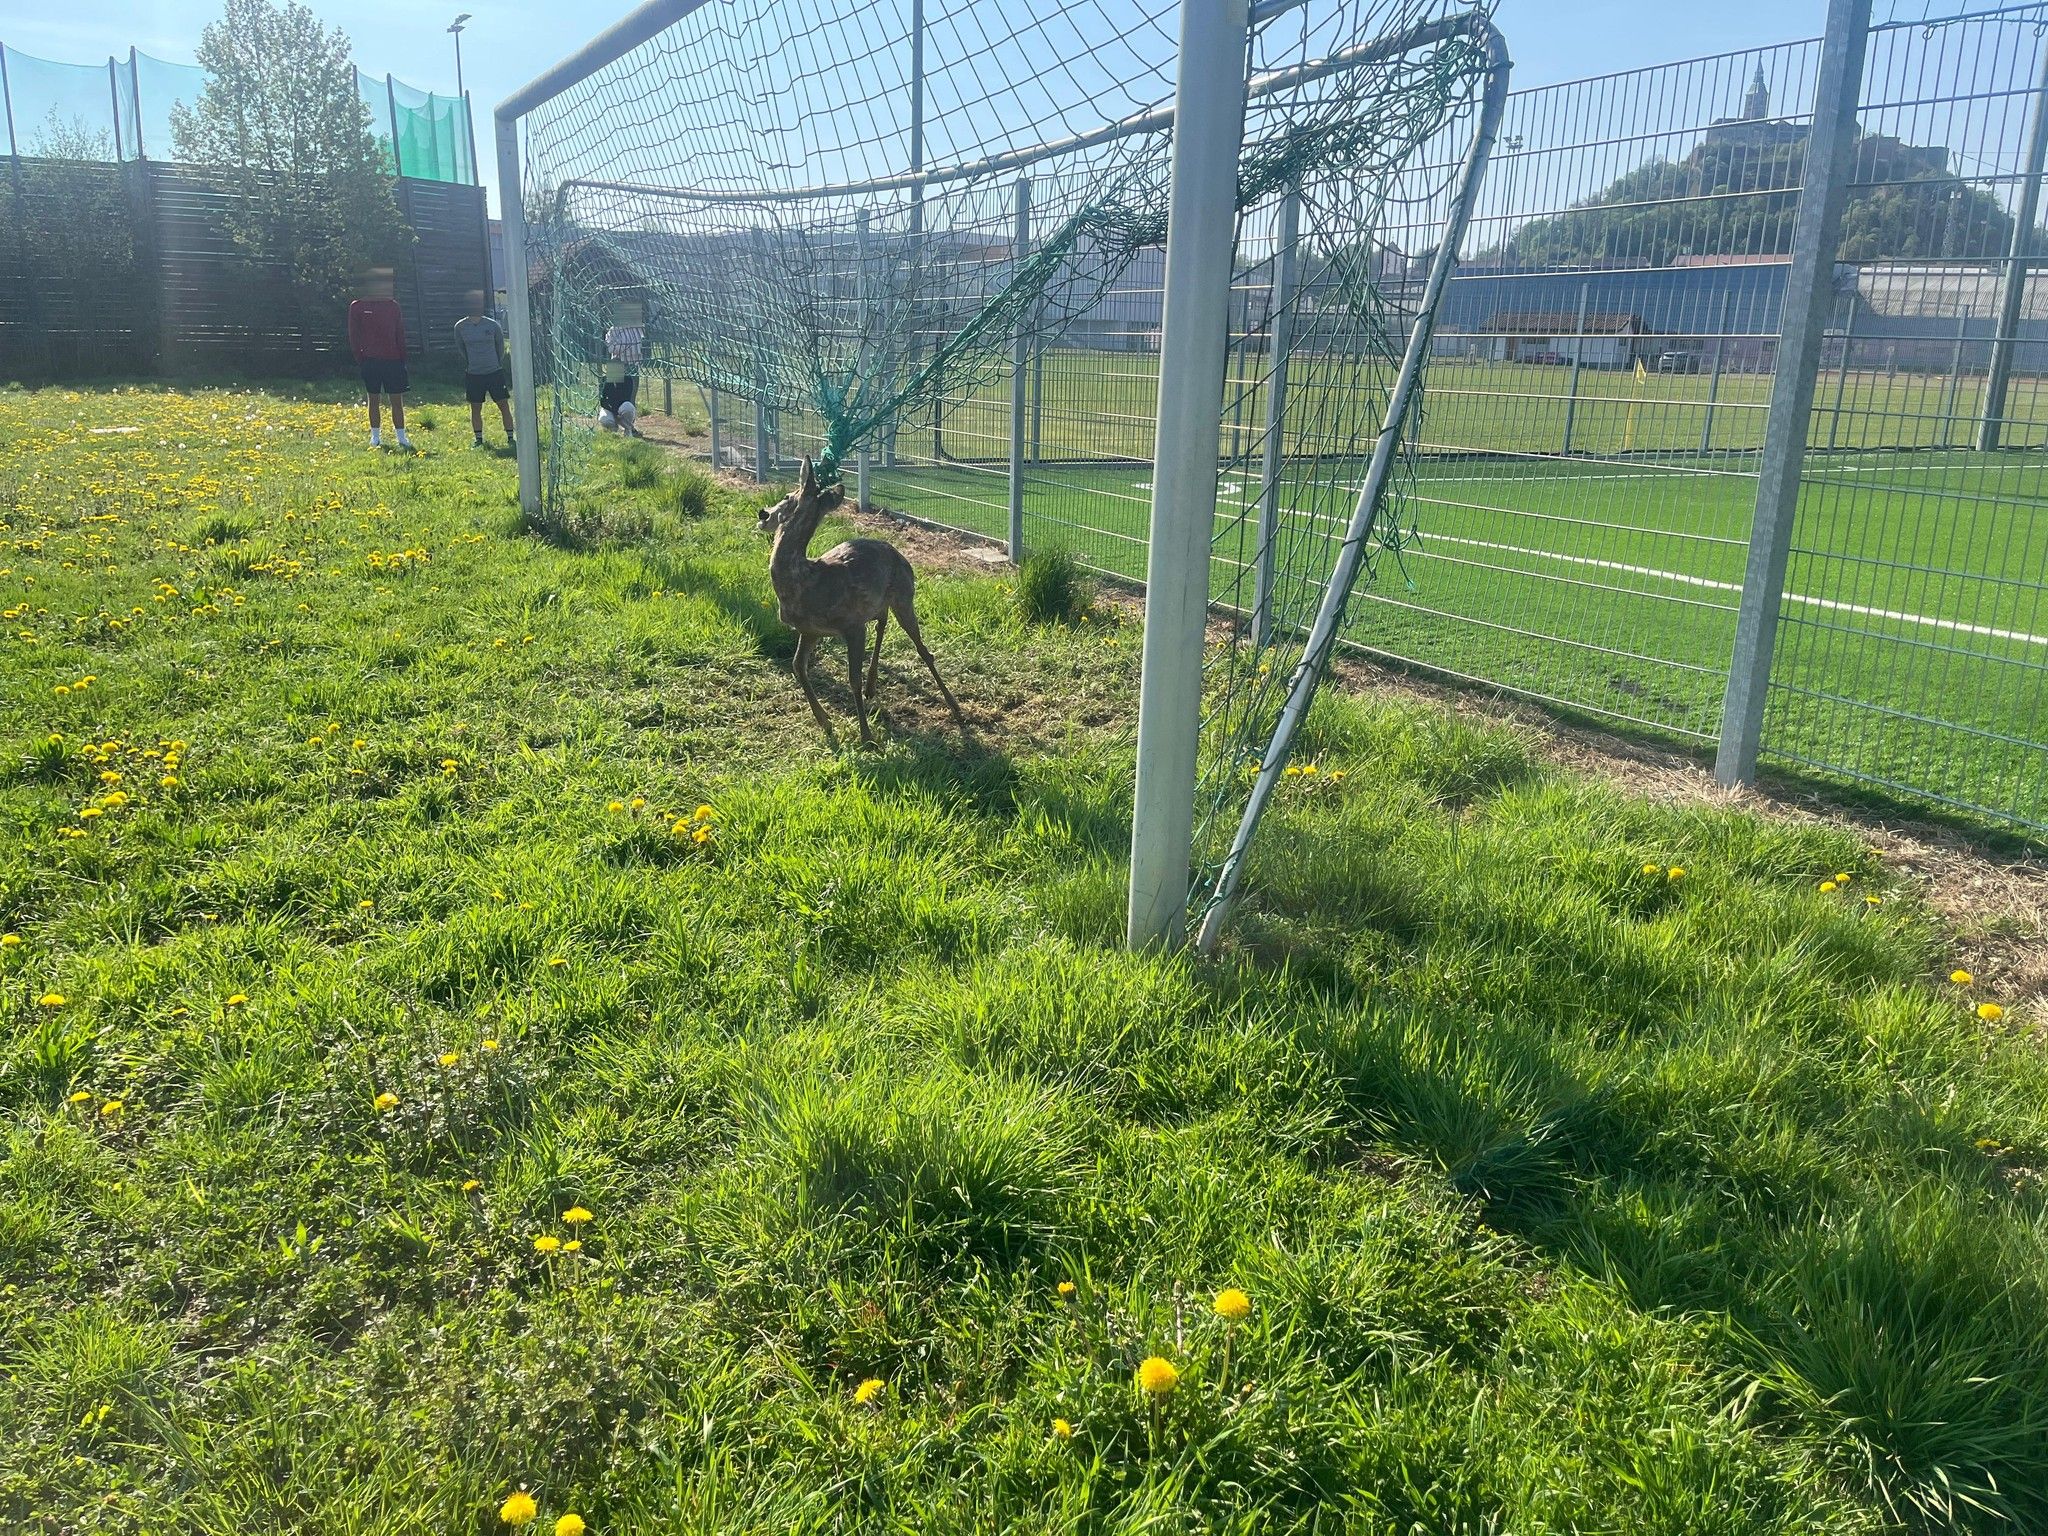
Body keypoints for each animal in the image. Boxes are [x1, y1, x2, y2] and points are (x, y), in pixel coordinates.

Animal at [759, 456, 964, 747]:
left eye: (787, 496)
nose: (763, 514)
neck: (806, 581)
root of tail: (900, 555)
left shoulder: (851, 625)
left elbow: (851, 678)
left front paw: (866, 736)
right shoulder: (810, 630)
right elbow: (798, 666)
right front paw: (825, 721)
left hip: (904, 595)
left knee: (923, 649)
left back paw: (955, 707)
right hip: (878, 604)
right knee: (882, 622)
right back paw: (872, 686)